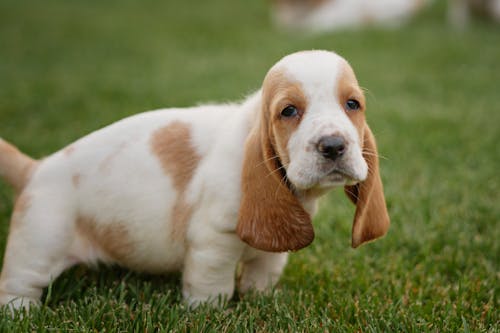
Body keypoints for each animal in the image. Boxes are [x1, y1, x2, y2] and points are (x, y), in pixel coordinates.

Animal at [0, 50, 390, 308]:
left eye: (352, 104)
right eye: (289, 111)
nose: (334, 145)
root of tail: (35, 168)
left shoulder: (272, 251)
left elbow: (263, 272)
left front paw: (260, 300)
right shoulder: (213, 239)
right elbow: (212, 285)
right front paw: (209, 313)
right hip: (39, 242)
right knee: (17, 287)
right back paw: (22, 313)